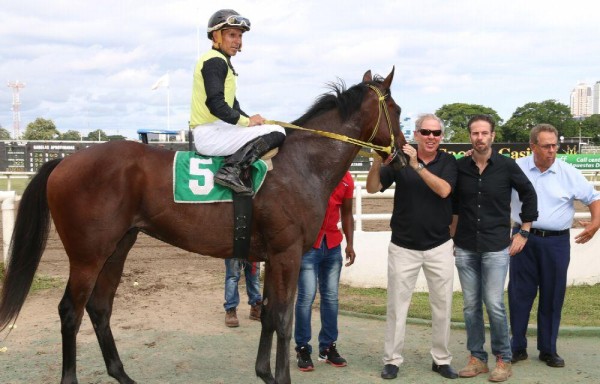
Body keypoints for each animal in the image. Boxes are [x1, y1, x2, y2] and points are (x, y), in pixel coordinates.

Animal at [0, 67, 408, 382]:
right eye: (398, 109)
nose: (404, 156)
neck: (301, 165)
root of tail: (63, 161)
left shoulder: (273, 256)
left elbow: (268, 315)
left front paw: (263, 372)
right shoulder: (288, 254)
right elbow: (284, 318)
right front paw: (280, 376)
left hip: (118, 247)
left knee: (99, 307)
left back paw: (122, 374)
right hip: (87, 254)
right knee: (71, 311)